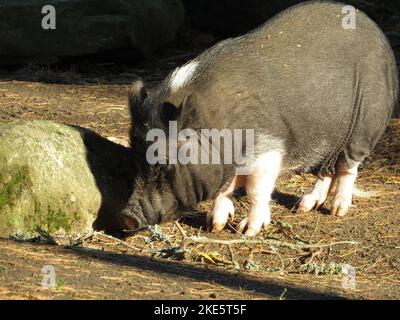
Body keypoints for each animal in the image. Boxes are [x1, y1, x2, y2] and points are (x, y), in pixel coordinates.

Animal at [120, 1, 398, 236]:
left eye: (165, 164)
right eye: (135, 159)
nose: (128, 217)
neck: (218, 126)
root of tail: (379, 34)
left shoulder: (269, 147)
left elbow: (256, 189)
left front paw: (247, 231)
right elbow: (225, 189)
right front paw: (215, 225)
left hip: (365, 123)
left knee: (348, 166)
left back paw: (337, 211)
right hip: (330, 134)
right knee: (327, 169)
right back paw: (304, 206)